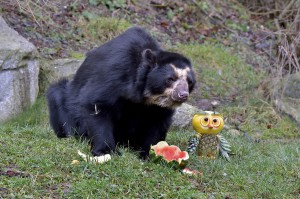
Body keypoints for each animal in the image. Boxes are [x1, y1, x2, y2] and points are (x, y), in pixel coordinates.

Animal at [46, 27, 196, 159]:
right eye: (170, 79)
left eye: (189, 82)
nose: (183, 95)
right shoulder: (114, 73)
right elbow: (96, 103)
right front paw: (106, 151)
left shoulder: (157, 107)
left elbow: (158, 122)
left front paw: (148, 153)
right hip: (64, 102)